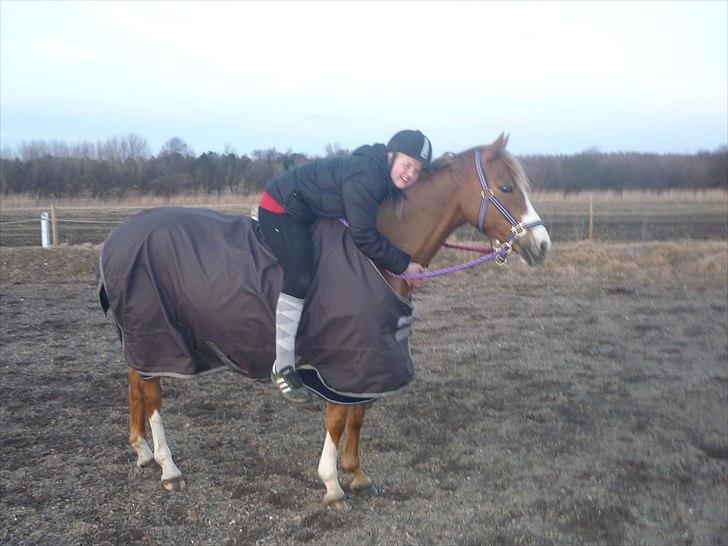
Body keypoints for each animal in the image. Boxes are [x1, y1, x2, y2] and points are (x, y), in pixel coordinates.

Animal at [122, 134, 548, 508]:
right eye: (507, 187)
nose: (542, 245)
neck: (374, 255)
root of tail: (124, 234)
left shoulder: (365, 364)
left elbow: (357, 418)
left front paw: (356, 475)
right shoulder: (342, 361)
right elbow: (337, 420)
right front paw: (332, 485)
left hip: (142, 336)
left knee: (135, 382)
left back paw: (142, 450)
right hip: (158, 336)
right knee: (153, 395)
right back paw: (168, 467)